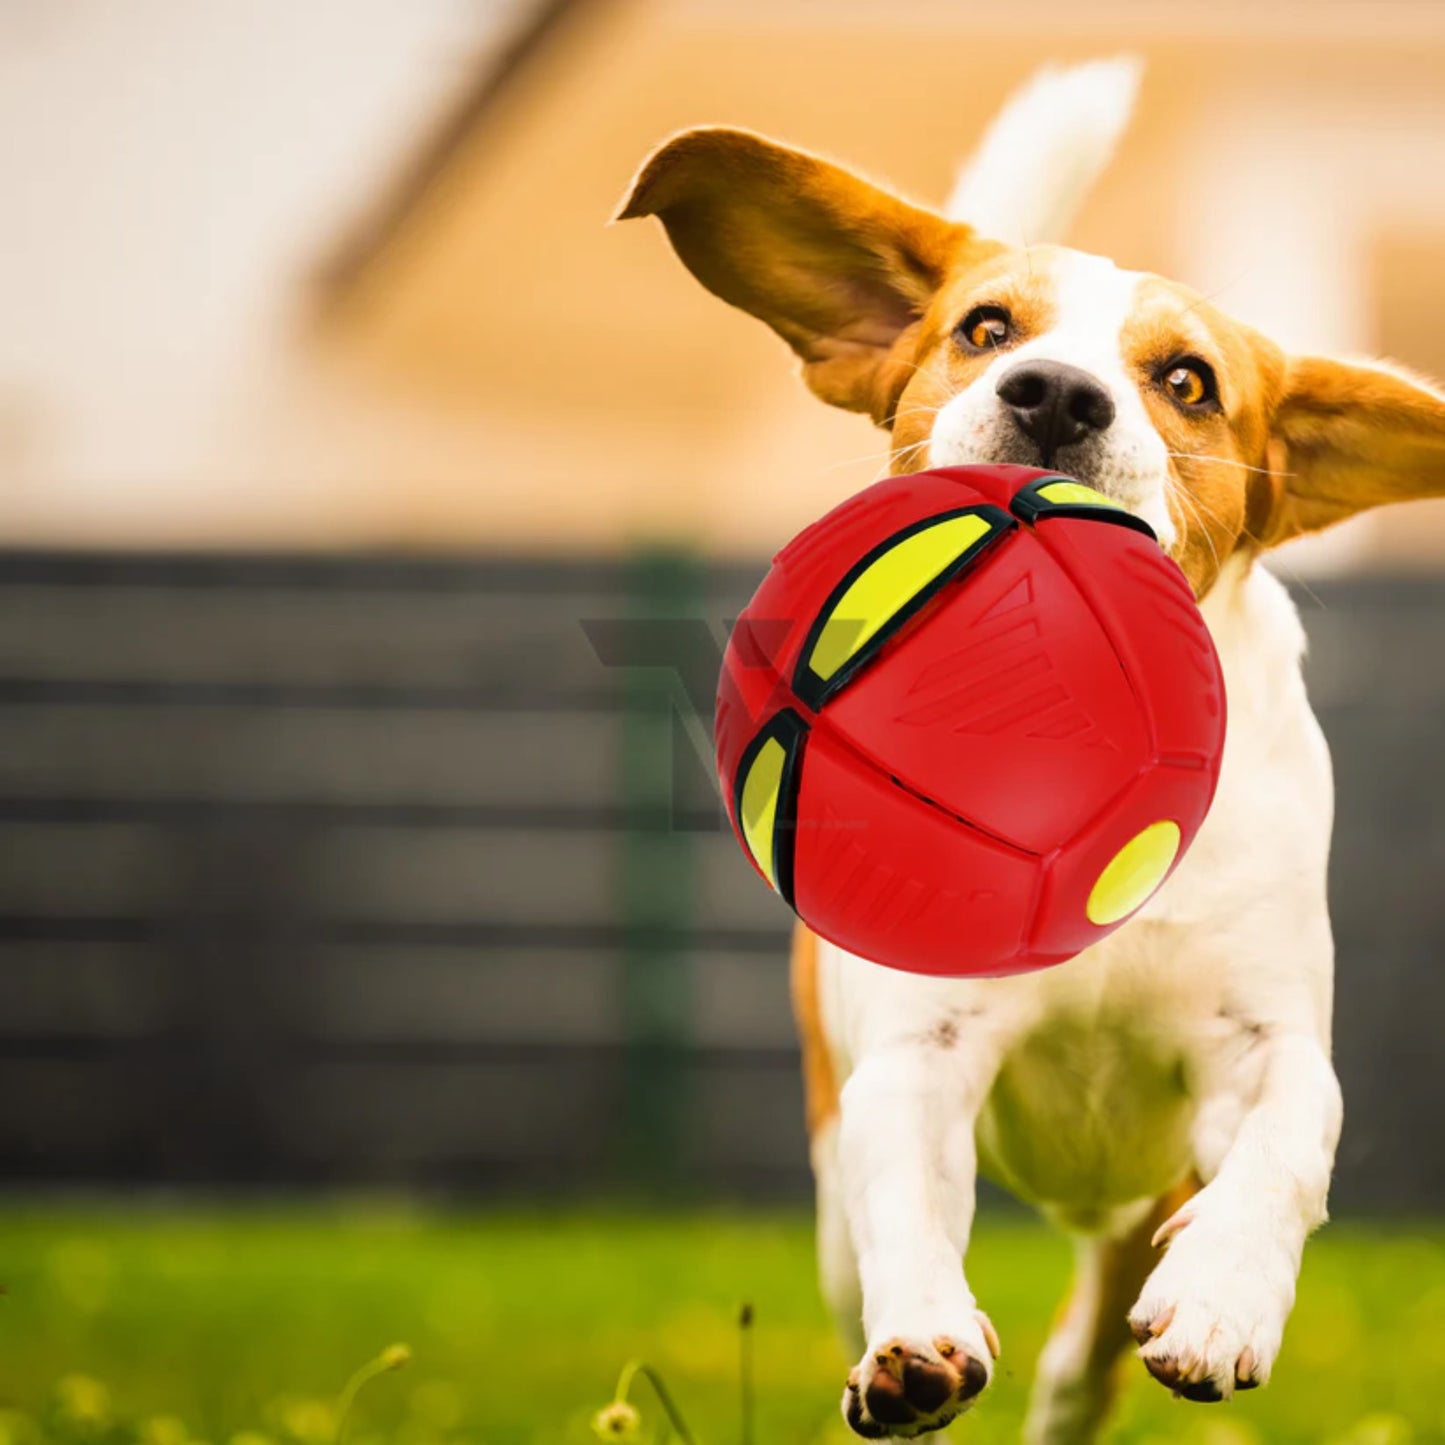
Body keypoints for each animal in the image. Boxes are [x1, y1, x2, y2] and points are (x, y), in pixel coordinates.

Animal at [612, 62, 1445, 1439]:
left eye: (1187, 379)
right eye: (986, 328)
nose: (1053, 392)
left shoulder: (1261, 1042)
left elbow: (1283, 1146)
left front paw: (1221, 1299)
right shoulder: (914, 1059)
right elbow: (908, 1199)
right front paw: (917, 1344)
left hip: (1133, 1206)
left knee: (1082, 1354)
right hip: (835, 1197)